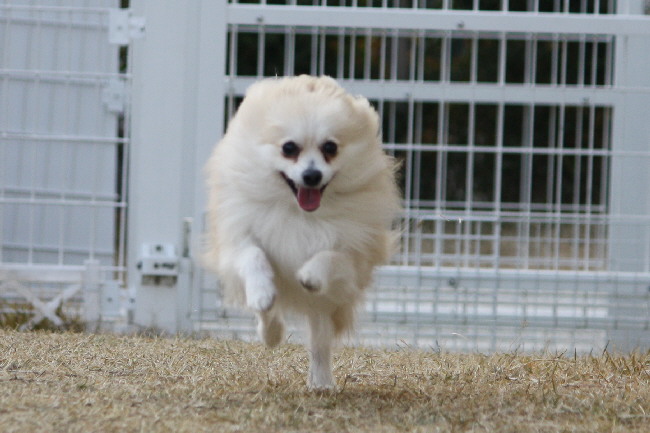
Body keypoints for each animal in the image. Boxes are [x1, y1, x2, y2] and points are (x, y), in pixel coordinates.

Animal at [204, 75, 400, 390]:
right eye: (289, 148)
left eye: (330, 148)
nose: (311, 175)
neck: (300, 213)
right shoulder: (238, 238)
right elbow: (252, 256)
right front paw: (262, 292)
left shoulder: (354, 256)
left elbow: (331, 257)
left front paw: (310, 274)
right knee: (270, 315)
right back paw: (271, 332)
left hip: (324, 305)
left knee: (320, 343)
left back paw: (321, 382)